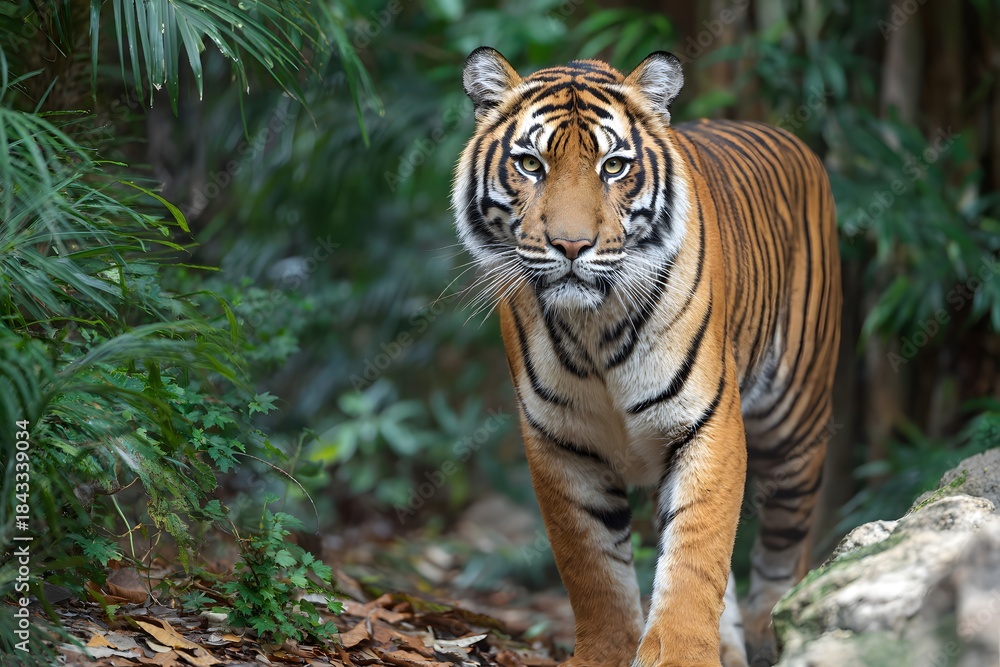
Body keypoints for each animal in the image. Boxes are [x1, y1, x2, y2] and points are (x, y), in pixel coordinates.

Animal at [451, 47, 841, 667]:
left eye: (613, 166)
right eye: (531, 164)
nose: (570, 246)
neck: (593, 326)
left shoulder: (708, 421)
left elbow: (696, 555)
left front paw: (682, 655)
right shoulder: (560, 441)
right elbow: (592, 569)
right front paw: (607, 655)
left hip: (794, 424)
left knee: (785, 548)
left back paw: (773, 631)